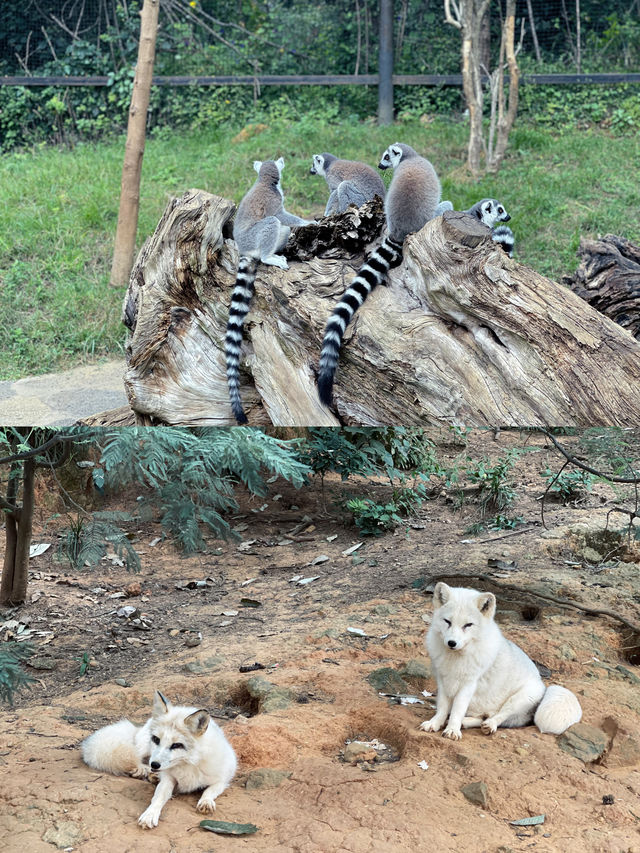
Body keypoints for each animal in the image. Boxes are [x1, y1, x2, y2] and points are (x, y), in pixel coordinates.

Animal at [82, 692, 238, 824]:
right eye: (156, 739)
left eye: (176, 745)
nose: (155, 765)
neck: (188, 763)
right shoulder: (168, 778)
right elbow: (158, 797)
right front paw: (150, 814)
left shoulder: (222, 780)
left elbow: (209, 791)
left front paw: (206, 802)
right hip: (143, 749)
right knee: (136, 758)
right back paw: (144, 770)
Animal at [418, 580, 584, 740]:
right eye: (447, 621)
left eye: (468, 625)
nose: (451, 643)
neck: (455, 659)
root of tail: (544, 686)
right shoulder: (443, 680)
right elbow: (442, 708)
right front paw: (435, 723)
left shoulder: (469, 684)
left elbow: (457, 710)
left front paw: (452, 730)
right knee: (483, 717)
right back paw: (467, 723)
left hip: (521, 698)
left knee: (498, 717)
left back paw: (488, 725)